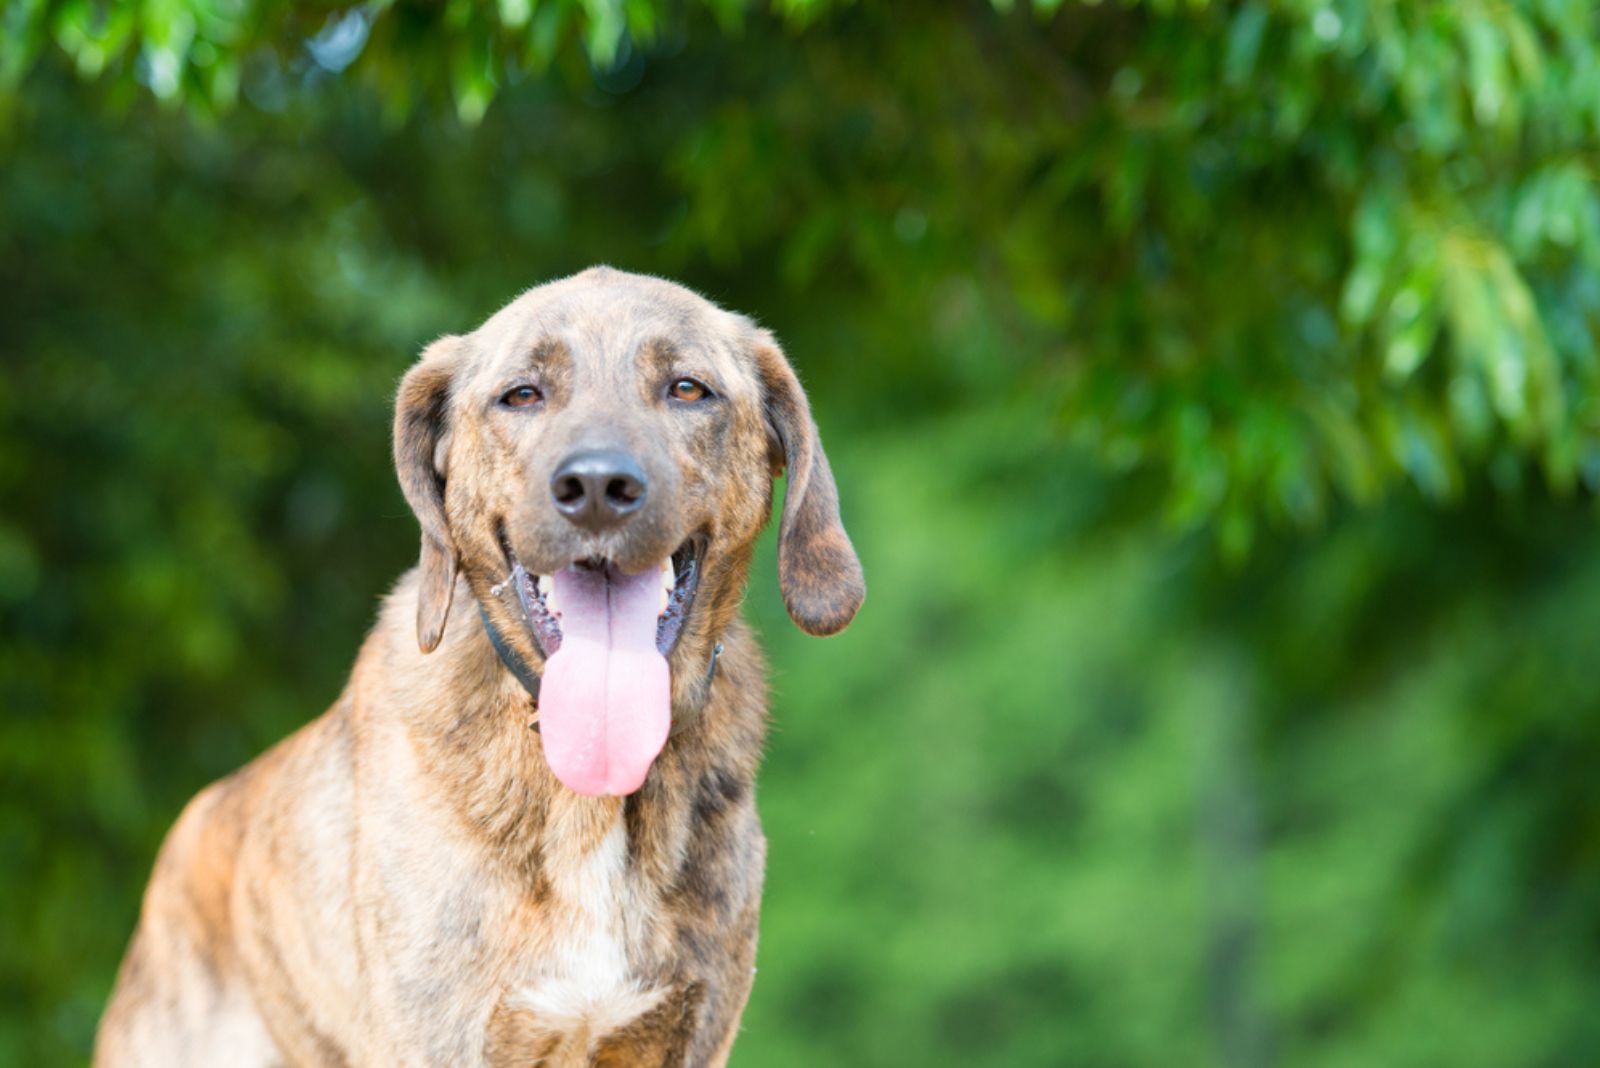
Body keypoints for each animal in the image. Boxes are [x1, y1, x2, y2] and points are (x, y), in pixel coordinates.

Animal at [93, 262, 870, 1061]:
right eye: (522, 394)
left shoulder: (688, 1031)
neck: (585, 790)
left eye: (688, 388)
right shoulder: (436, 1033)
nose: (597, 488)